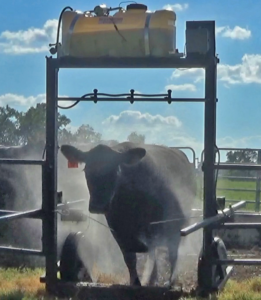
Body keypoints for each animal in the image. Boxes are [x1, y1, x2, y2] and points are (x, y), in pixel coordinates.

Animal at [60, 142, 195, 288]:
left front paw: (169, 282)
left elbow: (168, 254)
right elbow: (130, 259)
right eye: (86, 170)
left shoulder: (166, 226)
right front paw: (136, 282)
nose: (98, 206)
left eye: (116, 170)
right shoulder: (118, 231)